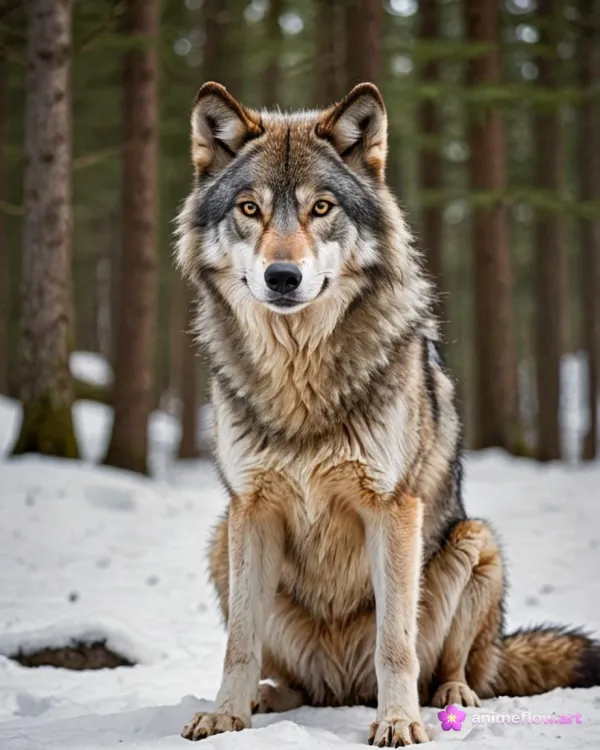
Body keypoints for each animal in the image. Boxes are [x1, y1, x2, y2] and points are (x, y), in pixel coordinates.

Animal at [176, 81, 600, 746]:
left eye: (322, 208)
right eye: (249, 209)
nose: (282, 276)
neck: (299, 378)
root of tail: (342, 687)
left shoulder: (392, 507)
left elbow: (394, 643)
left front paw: (399, 721)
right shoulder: (250, 508)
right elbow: (238, 642)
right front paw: (224, 717)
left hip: (475, 544)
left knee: (455, 666)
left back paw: (451, 698)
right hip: (223, 541)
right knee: (294, 678)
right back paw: (272, 698)